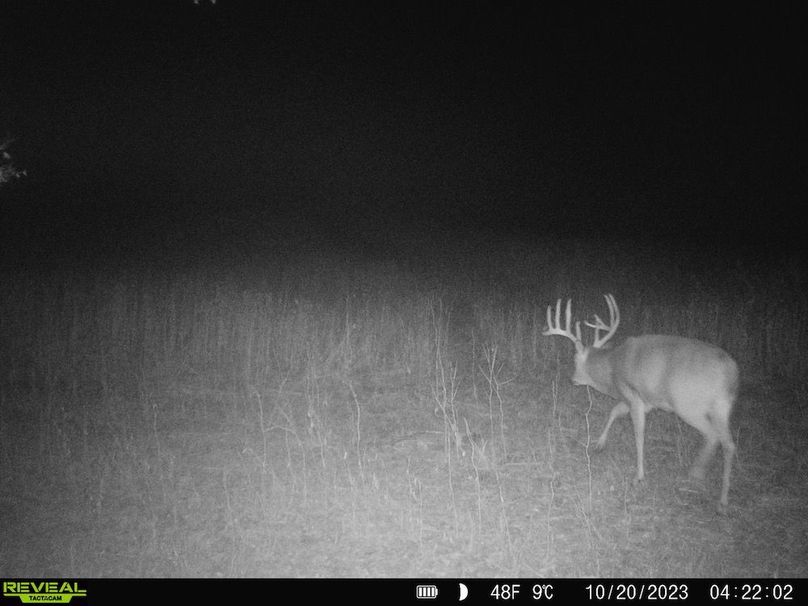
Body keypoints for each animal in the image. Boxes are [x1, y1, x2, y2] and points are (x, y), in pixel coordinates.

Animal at [543, 294, 737, 513]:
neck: (611, 368)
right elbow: (614, 412)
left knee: (713, 436)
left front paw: (638, 476)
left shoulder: (632, 394)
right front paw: (599, 444)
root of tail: (730, 372)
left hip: (689, 405)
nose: (573, 379)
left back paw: (698, 474)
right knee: (729, 443)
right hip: (723, 406)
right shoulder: (644, 400)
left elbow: (638, 434)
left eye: (575, 359)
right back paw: (720, 496)